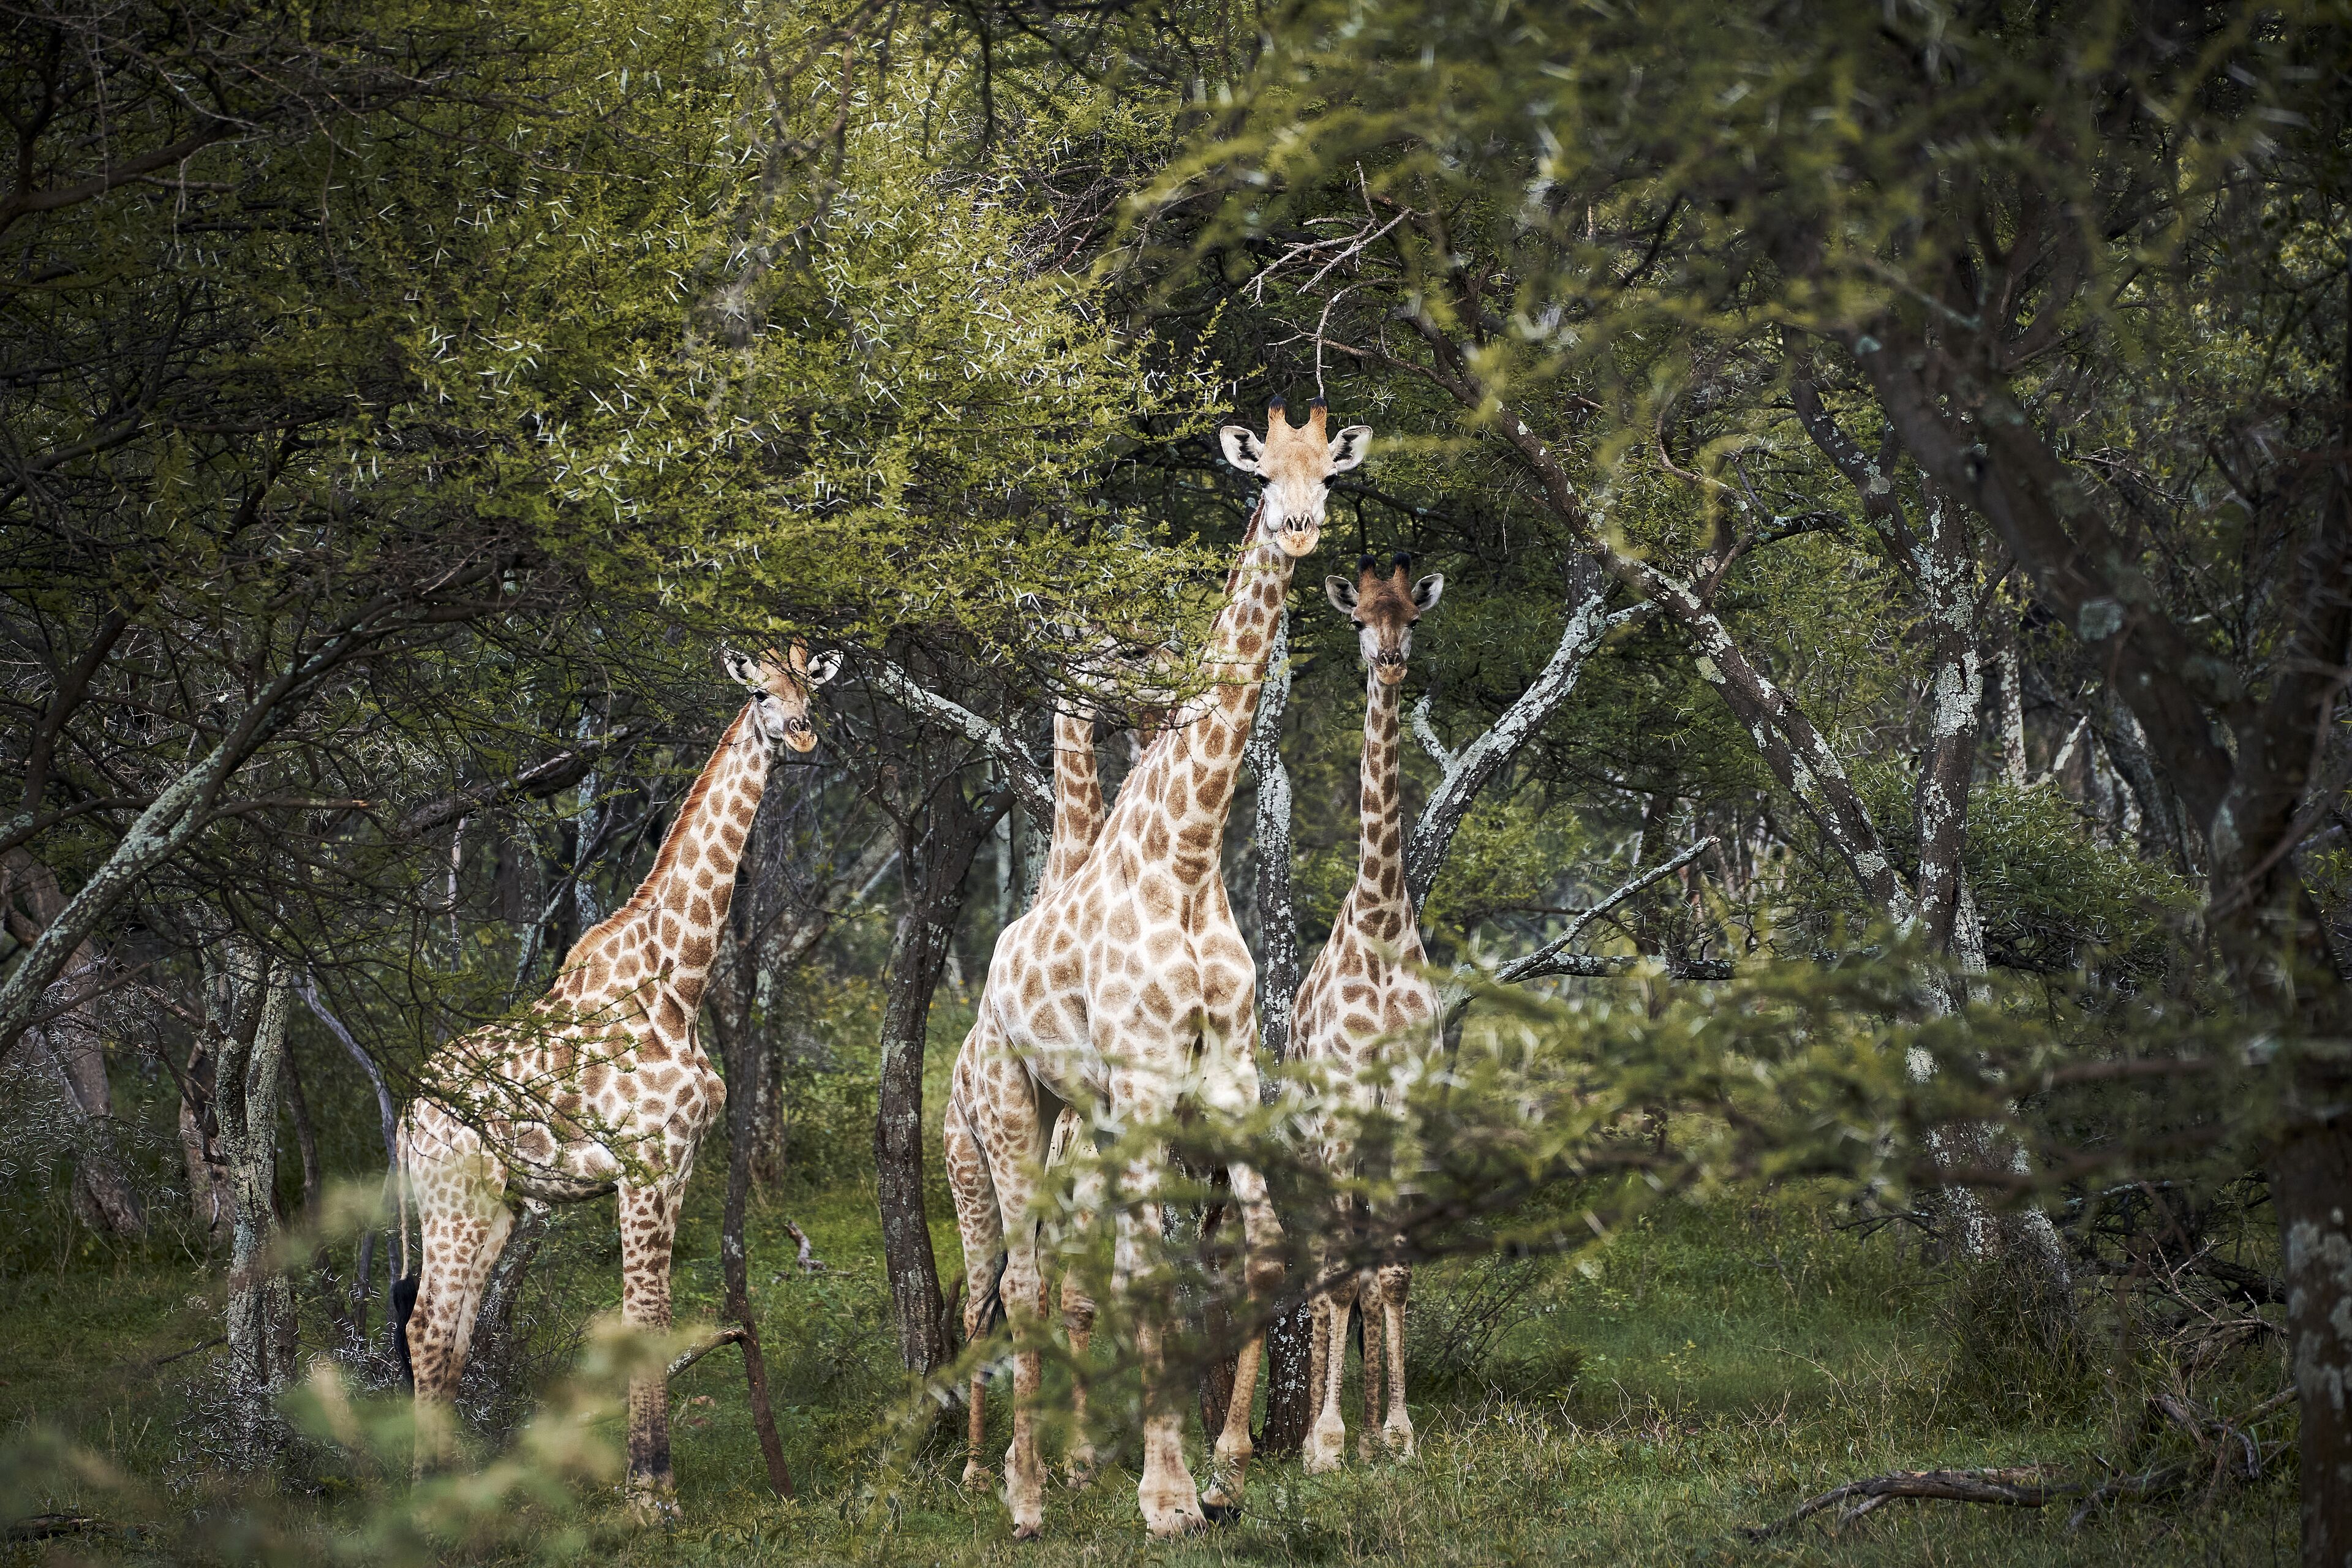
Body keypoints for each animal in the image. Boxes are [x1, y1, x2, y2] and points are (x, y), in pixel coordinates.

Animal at [395, 643, 839, 1510]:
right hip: (451, 1200)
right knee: (426, 1326)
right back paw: (427, 1504)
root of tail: (404, 1115)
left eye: (812, 687)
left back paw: (459, 1494)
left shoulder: (680, 1166)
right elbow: (643, 1317)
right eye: (760, 693)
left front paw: (655, 1484)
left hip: (495, 1206)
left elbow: (655, 1321)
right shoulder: (643, 1164)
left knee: (454, 1333)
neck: (680, 982)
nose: (805, 734)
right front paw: (649, 1495)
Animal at [961, 397, 1372, 1539]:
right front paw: (1166, 1493)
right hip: (1015, 1101)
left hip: (1083, 1110)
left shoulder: (1223, 1071)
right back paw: (1022, 1495)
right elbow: (1145, 1274)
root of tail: (994, 968)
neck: (1187, 856)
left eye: (1330, 472)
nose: (1300, 527)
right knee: (1025, 1280)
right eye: (1260, 475)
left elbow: (1258, 1248)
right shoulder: (1145, 1076)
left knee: (1070, 1272)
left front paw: (1222, 1472)